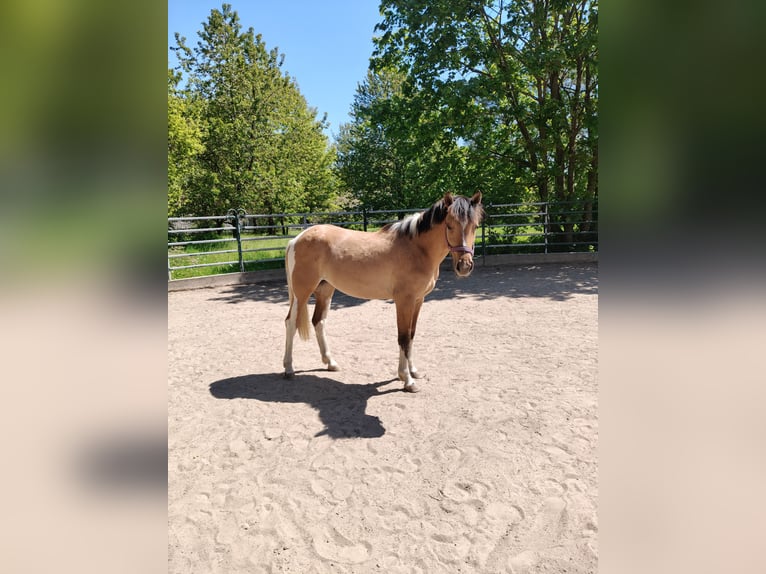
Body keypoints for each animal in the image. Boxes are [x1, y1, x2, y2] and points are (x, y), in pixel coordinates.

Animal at [282, 192, 483, 392]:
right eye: (449, 225)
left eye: (475, 226)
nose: (464, 266)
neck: (417, 249)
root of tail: (296, 239)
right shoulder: (404, 301)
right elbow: (403, 337)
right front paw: (407, 380)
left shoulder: (418, 300)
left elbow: (411, 335)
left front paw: (413, 371)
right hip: (302, 293)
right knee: (291, 323)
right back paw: (289, 369)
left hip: (325, 290)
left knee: (319, 322)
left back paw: (330, 363)